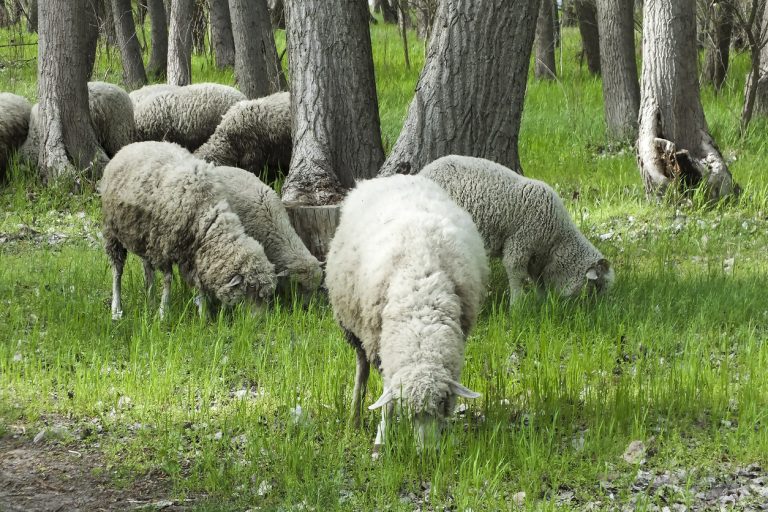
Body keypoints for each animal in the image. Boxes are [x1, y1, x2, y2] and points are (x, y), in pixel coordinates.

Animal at [100, 141, 276, 320]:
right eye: (251, 289)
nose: (260, 321)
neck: (206, 214)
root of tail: (130, 146)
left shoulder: (193, 252)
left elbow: (200, 286)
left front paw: (203, 315)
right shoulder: (164, 245)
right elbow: (168, 279)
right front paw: (164, 312)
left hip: (144, 236)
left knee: (147, 270)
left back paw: (150, 302)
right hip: (113, 232)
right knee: (117, 270)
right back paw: (116, 309)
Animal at [325, 174, 488, 453]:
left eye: (442, 404)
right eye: (409, 410)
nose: (428, 453)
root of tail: (393, 177)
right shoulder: (381, 344)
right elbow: (387, 401)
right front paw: (381, 440)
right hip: (356, 330)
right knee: (361, 369)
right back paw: (354, 418)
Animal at [419, 155, 614, 300]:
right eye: (598, 285)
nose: (601, 311)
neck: (557, 240)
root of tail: (423, 172)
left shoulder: (536, 256)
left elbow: (537, 278)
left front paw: (541, 301)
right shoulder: (521, 242)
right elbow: (516, 273)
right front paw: (517, 305)